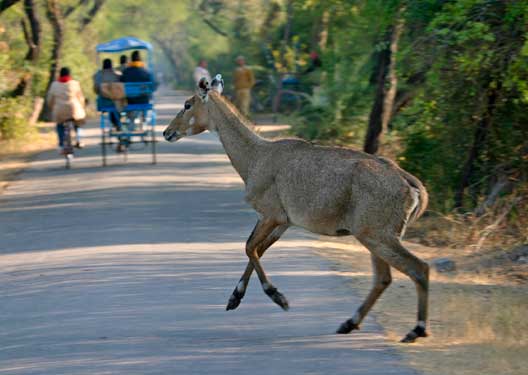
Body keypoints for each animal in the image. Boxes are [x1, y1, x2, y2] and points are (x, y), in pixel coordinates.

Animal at [163, 76, 432, 344]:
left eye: (187, 104)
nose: (167, 132)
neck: (256, 157)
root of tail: (409, 183)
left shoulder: (271, 215)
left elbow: (250, 248)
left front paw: (278, 297)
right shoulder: (281, 222)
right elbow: (256, 249)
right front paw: (234, 298)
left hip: (377, 235)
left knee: (419, 268)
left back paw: (416, 329)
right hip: (373, 237)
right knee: (383, 278)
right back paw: (349, 323)